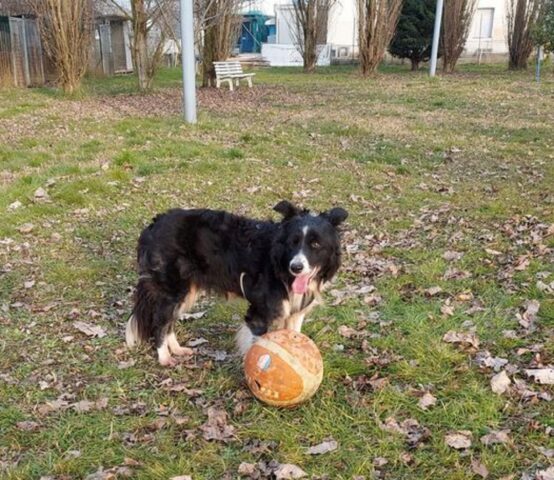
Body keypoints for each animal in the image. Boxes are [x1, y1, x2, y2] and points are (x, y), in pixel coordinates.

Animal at [127, 201, 348, 366]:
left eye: (315, 244)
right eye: (293, 242)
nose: (296, 267)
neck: (281, 267)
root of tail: (154, 224)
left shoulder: (295, 313)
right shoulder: (260, 312)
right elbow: (258, 349)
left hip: (186, 290)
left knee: (170, 320)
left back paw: (177, 349)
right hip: (172, 288)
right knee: (160, 321)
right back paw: (164, 357)